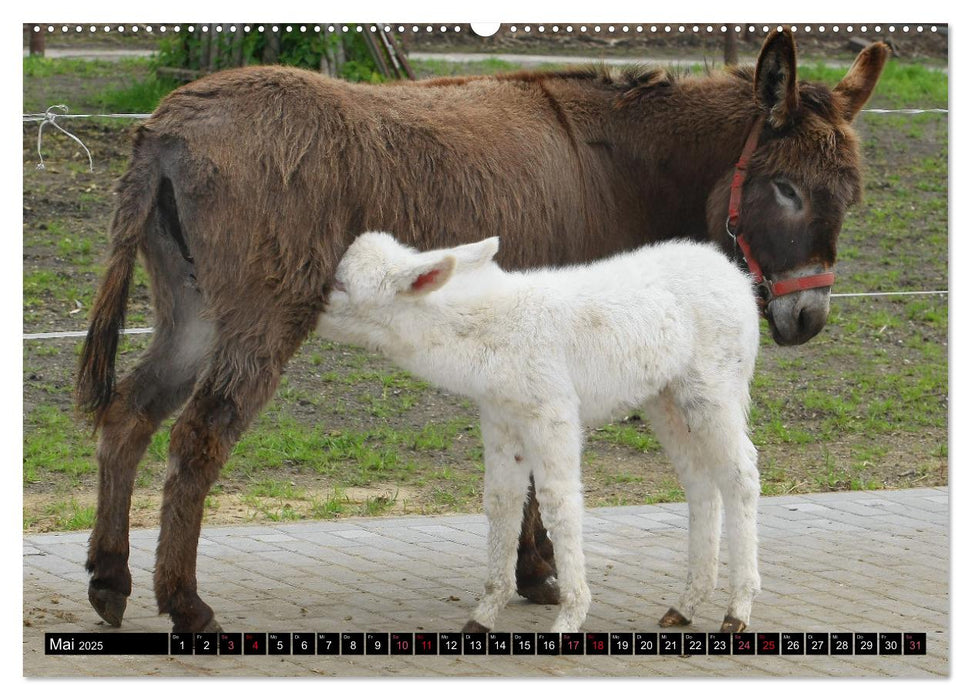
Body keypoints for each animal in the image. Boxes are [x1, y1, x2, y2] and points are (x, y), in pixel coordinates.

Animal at [318, 232, 760, 632]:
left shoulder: (553, 412)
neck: (484, 339)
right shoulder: (501, 420)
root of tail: (737, 277)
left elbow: (559, 502)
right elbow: (502, 502)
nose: (310, 305)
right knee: (700, 482)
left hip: (715, 387)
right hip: (665, 398)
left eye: (340, 284)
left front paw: (570, 616)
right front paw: (484, 614)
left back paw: (737, 609)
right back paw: (686, 604)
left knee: (741, 476)